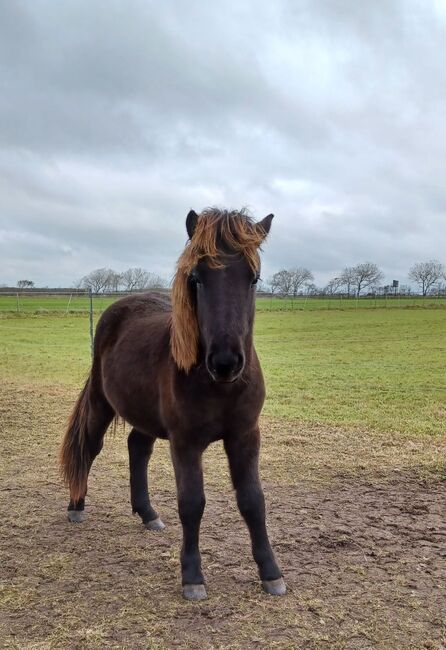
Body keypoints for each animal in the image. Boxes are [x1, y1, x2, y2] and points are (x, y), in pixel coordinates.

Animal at [60, 208, 286, 596]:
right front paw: (193, 576)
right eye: (197, 278)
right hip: (103, 403)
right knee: (89, 446)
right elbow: (192, 503)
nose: (225, 362)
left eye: (253, 278)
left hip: (144, 413)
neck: (218, 386)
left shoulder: (245, 436)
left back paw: (148, 513)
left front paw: (271, 572)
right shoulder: (185, 442)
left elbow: (253, 501)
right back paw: (77, 505)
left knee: (138, 448)